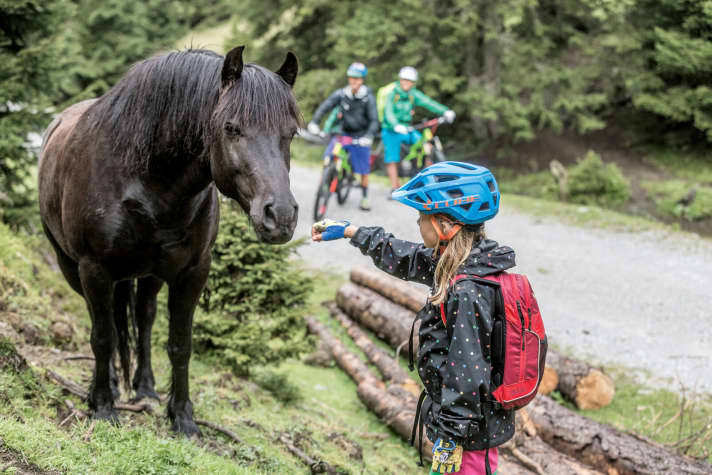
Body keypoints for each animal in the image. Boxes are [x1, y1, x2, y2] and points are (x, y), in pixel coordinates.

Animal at [38, 45, 300, 436]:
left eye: (291, 133)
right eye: (231, 127)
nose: (280, 216)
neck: (147, 181)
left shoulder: (192, 273)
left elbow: (179, 344)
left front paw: (183, 417)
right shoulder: (94, 269)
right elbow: (102, 337)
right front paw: (102, 406)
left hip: (150, 275)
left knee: (144, 320)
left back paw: (144, 388)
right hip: (72, 267)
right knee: (103, 324)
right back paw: (111, 384)